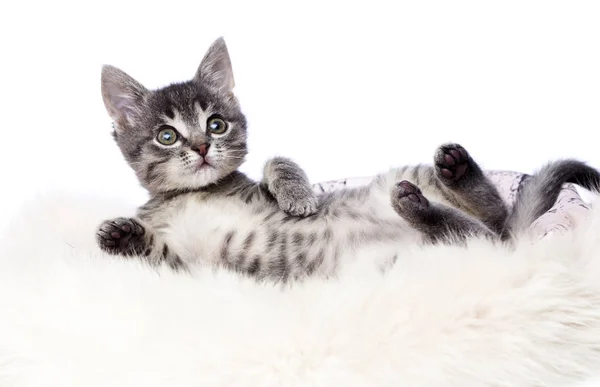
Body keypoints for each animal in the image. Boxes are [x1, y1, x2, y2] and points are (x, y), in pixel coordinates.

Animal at [95, 38, 600, 280]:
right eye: (166, 136)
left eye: (216, 124)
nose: (201, 147)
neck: (195, 195)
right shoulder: (193, 267)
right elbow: (160, 254)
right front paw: (122, 234)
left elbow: (277, 159)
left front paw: (297, 196)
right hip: (418, 262)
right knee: (479, 236)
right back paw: (421, 208)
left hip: (411, 183)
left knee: (492, 215)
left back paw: (451, 173)